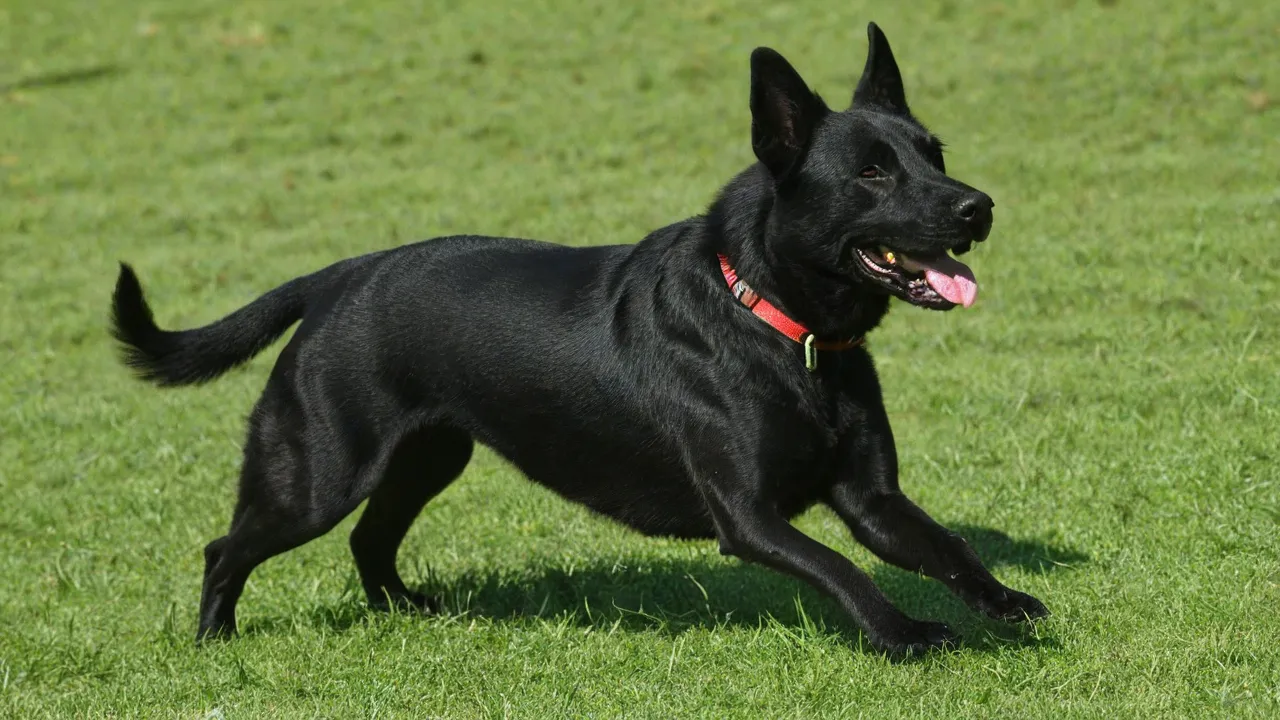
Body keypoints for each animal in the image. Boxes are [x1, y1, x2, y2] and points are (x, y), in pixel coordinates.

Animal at [107, 22, 1049, 653]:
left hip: (426, 457)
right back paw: (215, 639)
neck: (787, 332)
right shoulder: (749, 518)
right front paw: (905, 635)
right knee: (229, 546)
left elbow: (946, 544)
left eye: (934, 153)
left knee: (369, 540)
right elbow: (841, 571)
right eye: (872, 173)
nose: (978, 207)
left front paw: (1005, 603)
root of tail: (338, 276)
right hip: (318, 472)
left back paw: (406, 613)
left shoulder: (871, 499)